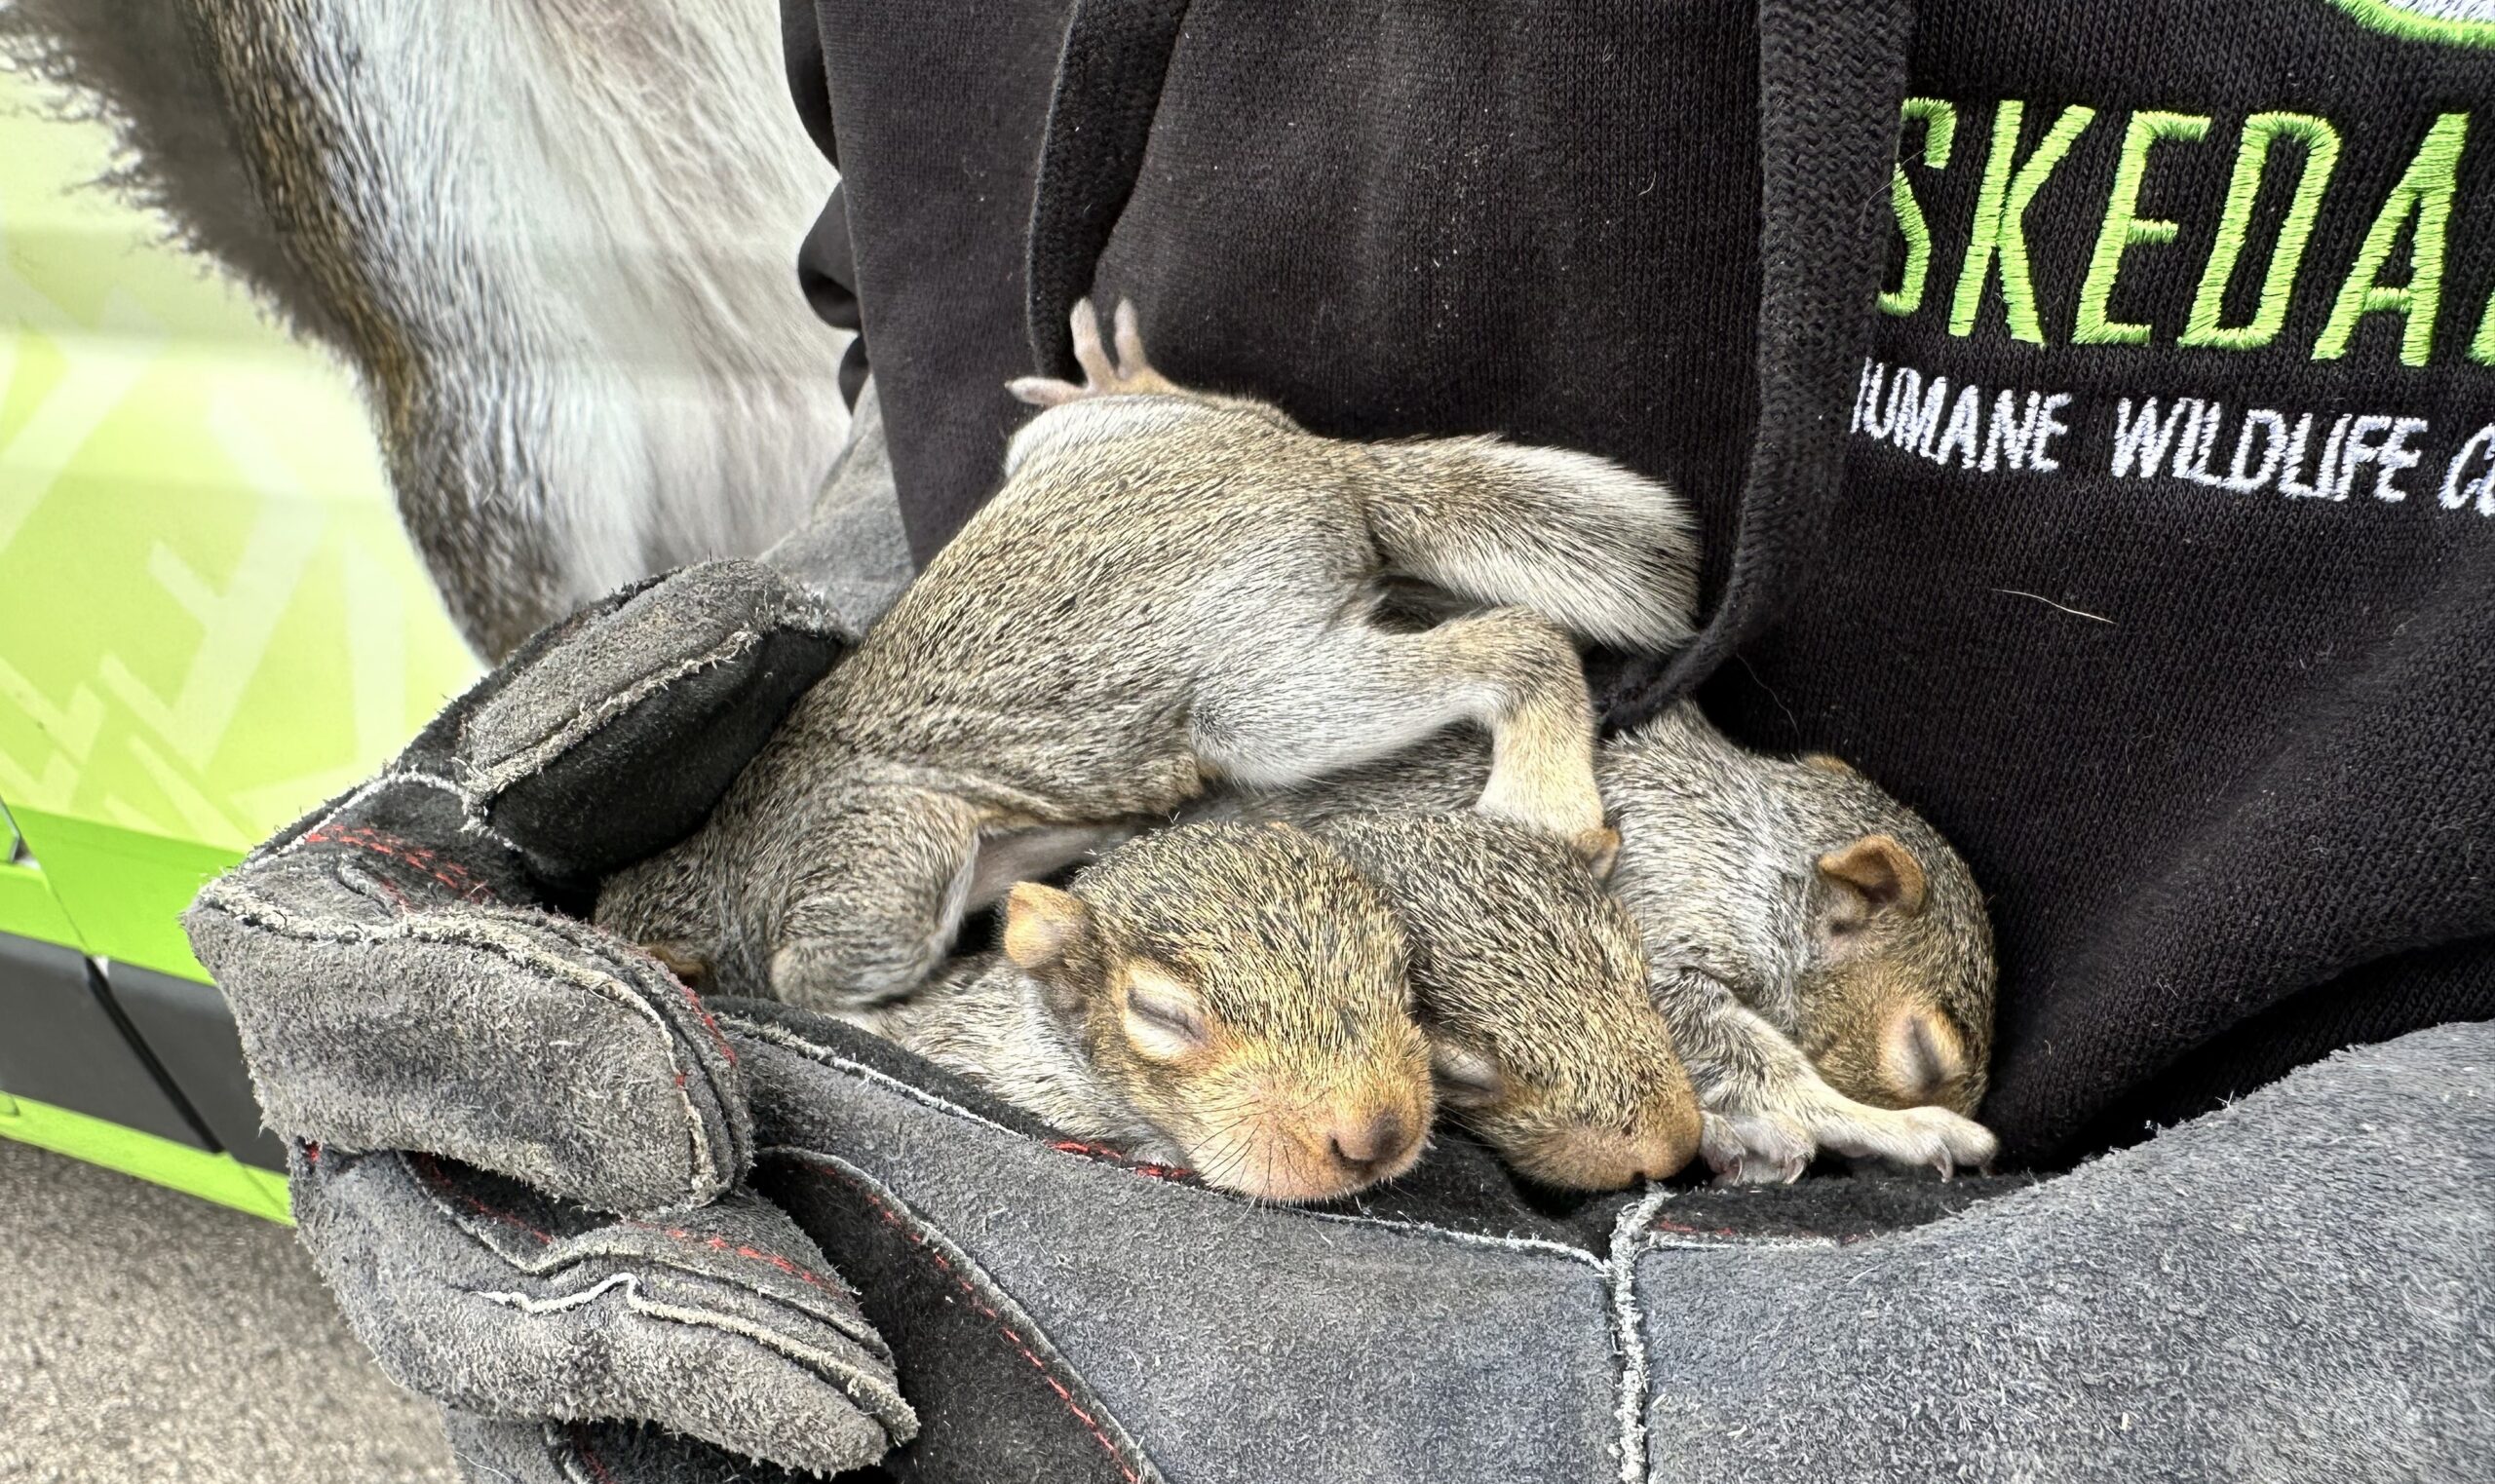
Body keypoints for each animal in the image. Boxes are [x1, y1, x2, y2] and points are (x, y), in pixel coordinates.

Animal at [597, 299, 1697, 1008]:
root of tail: (1320, 471)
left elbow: (840, 953)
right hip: (1083, 456)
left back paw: (1544, 798)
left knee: (1521, 643)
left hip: (1261, 698)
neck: (721, 863)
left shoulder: (862, 865)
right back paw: (1132, 378)